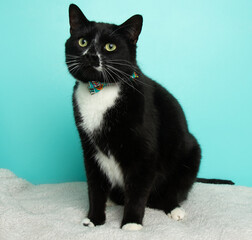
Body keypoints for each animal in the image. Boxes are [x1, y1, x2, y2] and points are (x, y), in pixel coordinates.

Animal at [65, 3, 201, 232]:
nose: (91, 56)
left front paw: (131, 223)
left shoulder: (144, 152)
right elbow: (94, 187)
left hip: (190, 152)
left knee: (173, 191)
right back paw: (112, 199)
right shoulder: (89, 149)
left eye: (110, 47)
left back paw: (174, 208)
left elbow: (137, 191)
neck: (100, 91)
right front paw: (94, 219)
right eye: (82, 41)